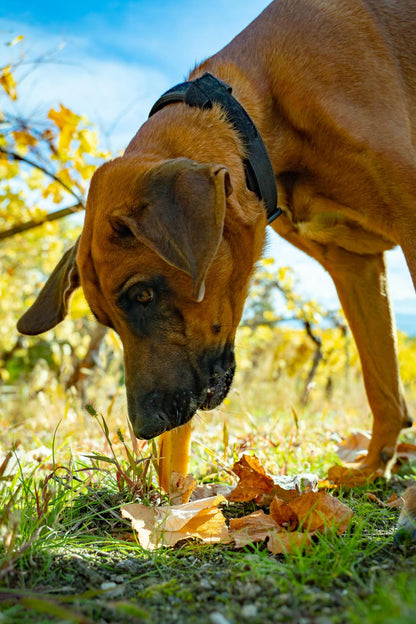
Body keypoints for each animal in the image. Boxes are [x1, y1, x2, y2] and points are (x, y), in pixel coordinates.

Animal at [17, 0, 416, 470]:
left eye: (143, 295)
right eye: (105, 321)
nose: (147, 428)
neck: (257, 109)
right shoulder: (354, 268)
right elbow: (383, 386)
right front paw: (371, 469)